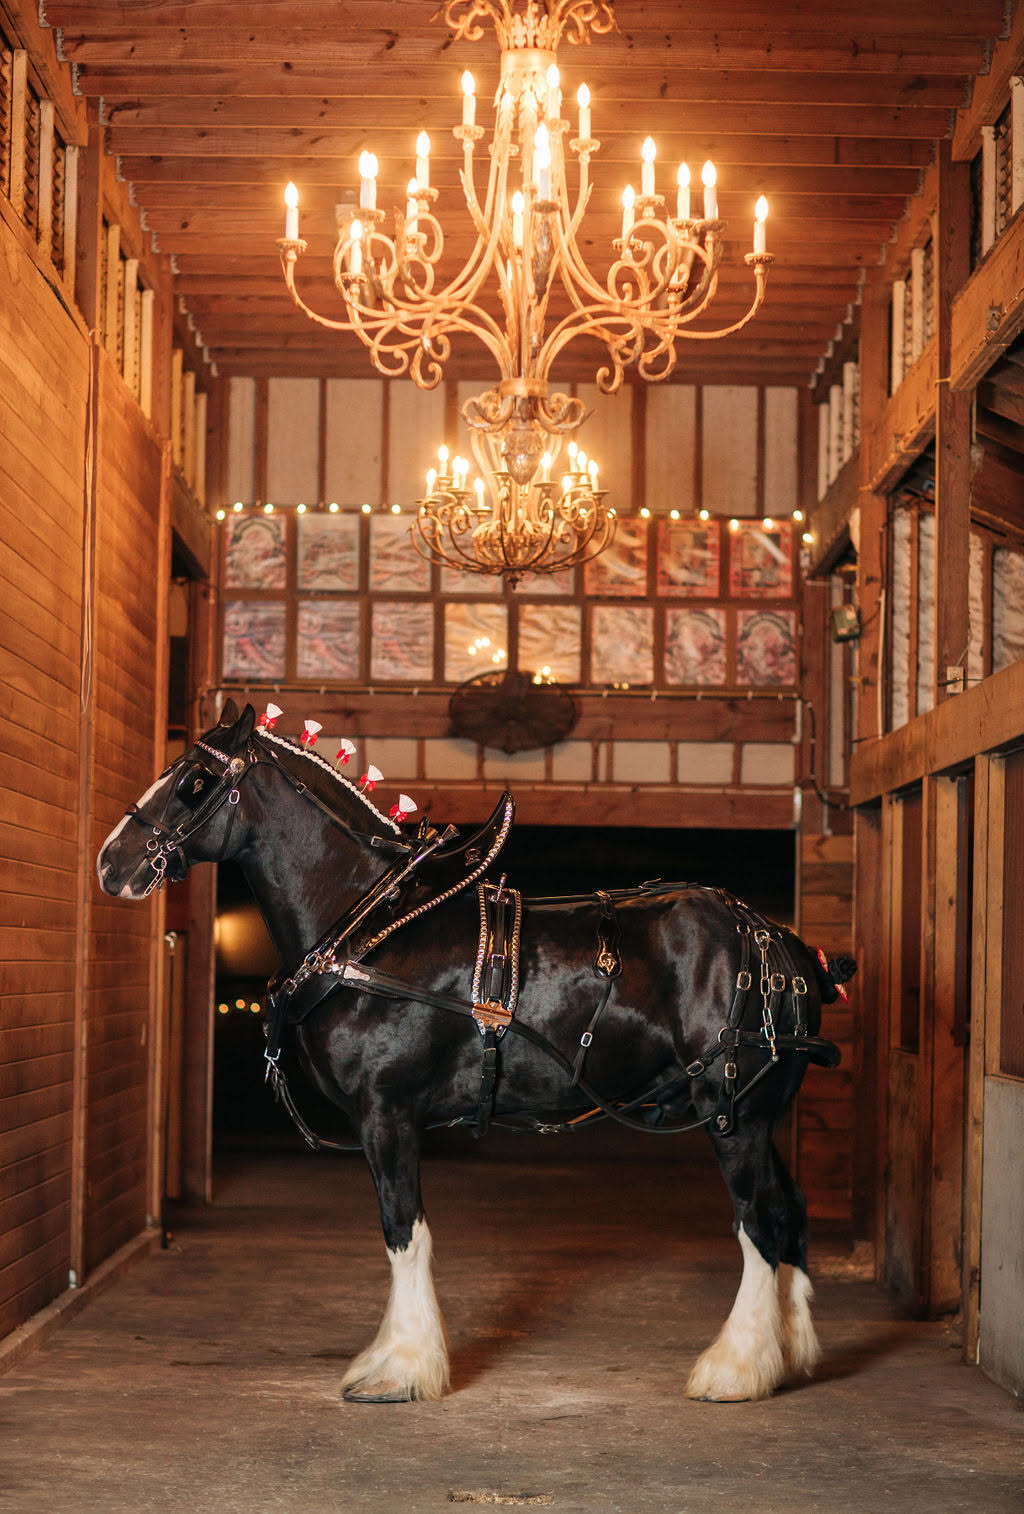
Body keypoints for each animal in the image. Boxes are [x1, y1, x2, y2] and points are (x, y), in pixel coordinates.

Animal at [96, 699, 851, 1406]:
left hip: (732, 1115)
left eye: (193, 781)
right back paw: (789, 1356)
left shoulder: (388, 1113)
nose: (110, 864)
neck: (372, 933)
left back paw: (737, 1368)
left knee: (759, 1223)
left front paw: (402, 1367)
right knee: (789, 1213)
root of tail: (775, 937)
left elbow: (404, 1231)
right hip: (760, 1115)